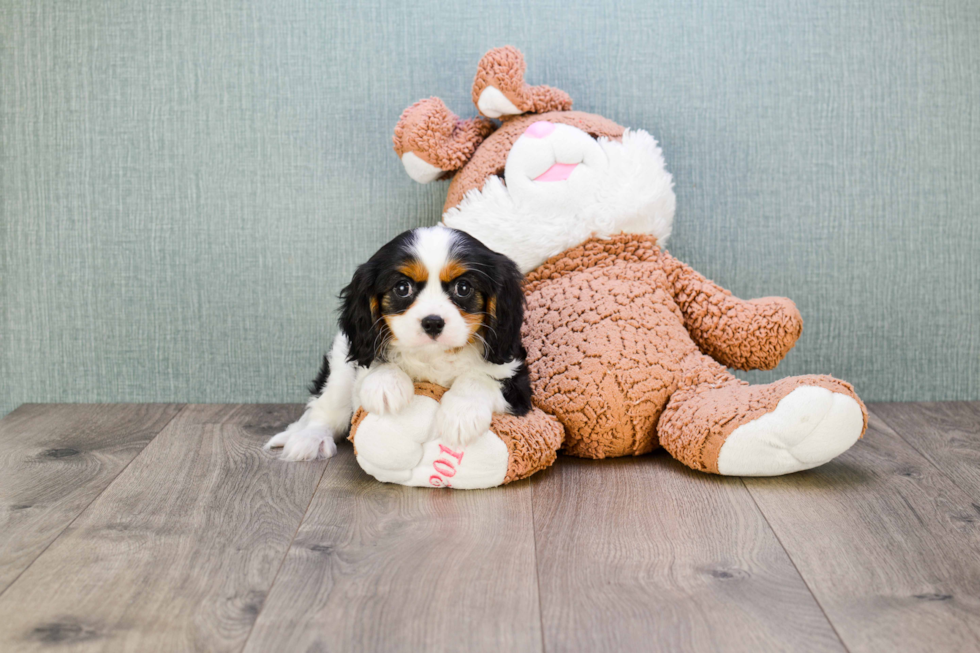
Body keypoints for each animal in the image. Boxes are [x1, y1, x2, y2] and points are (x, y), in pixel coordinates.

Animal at [264, 227, 532, 460]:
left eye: (463, 287)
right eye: (402, 288)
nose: (433, 322)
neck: (433, 355)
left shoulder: (515, 378)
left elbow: (478, 378)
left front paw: (461, 415)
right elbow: (376, 365)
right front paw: (386, 385)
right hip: (339, 365)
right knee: (325, 409)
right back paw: (310, 438)